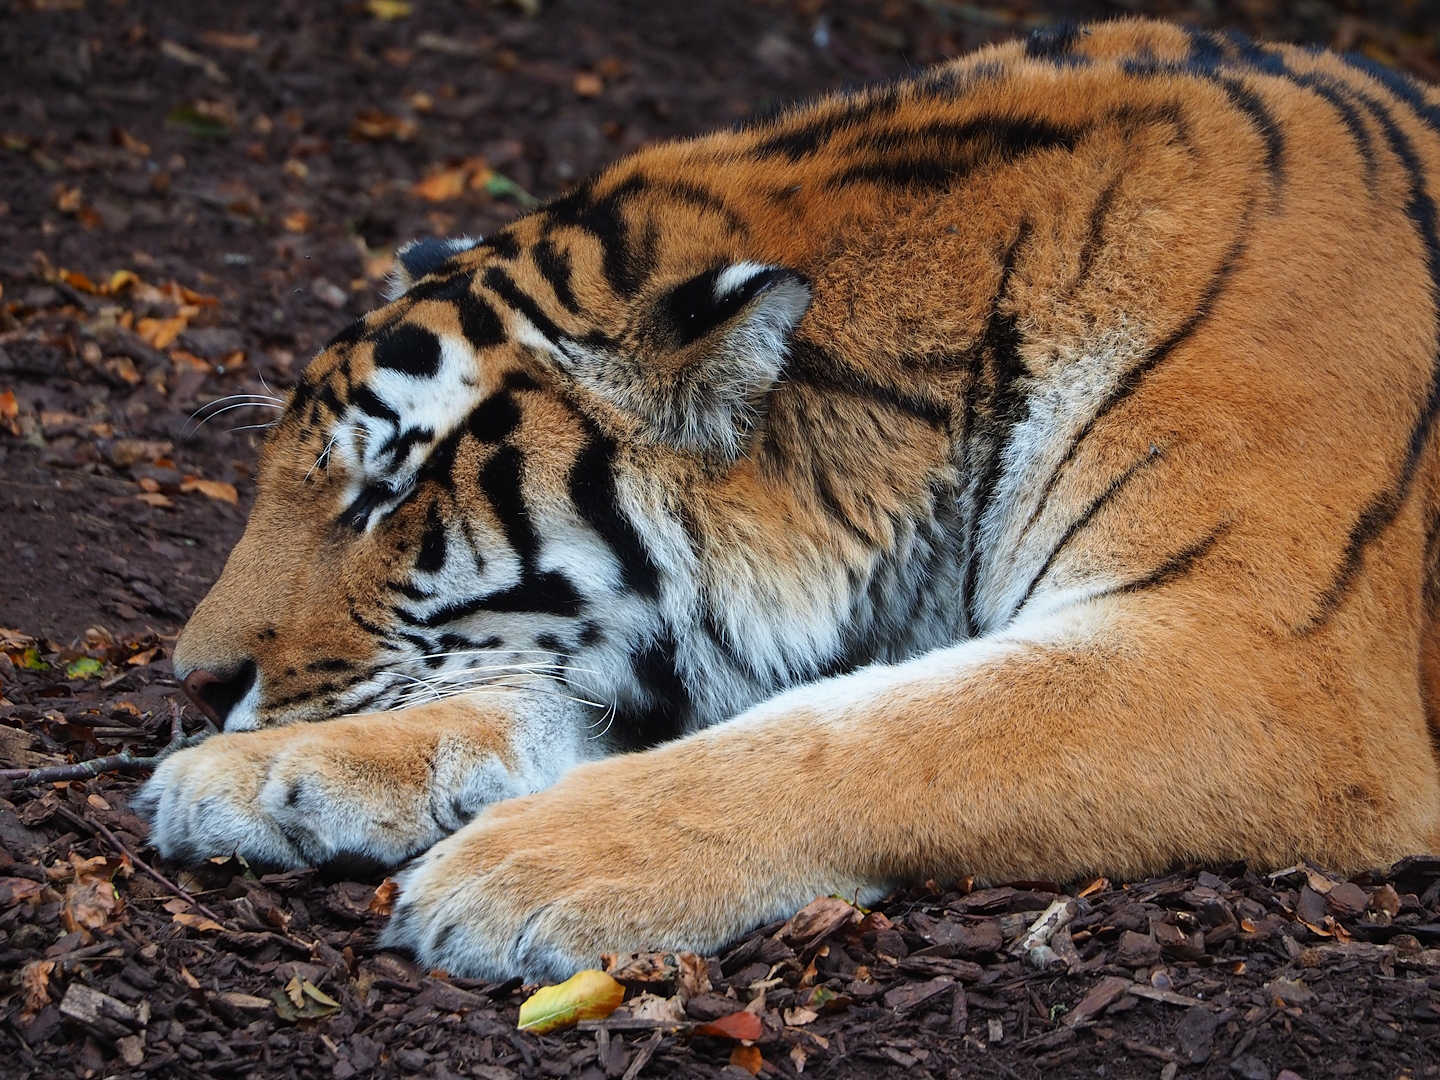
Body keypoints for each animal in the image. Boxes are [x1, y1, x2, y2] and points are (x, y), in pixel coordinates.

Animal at [133, 18, 1440, 981]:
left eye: (388, 492)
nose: (192, 683)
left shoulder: (1263, 660)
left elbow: (877, 732)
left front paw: (525, 874)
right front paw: (257, 774)